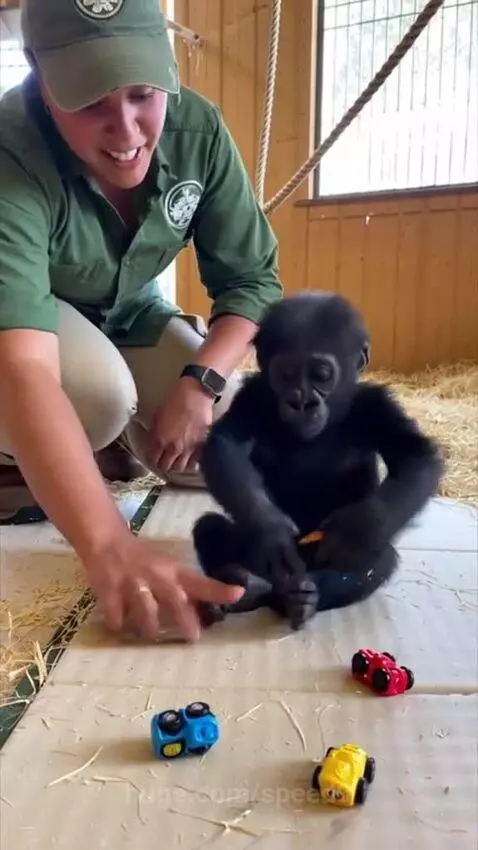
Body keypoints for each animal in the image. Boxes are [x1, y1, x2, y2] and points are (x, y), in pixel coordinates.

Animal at [192, 291, 444, 631]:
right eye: (286, 374)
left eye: (321, 374)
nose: (302, 401)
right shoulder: (252, 397)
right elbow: (226, 445)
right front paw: (272, 533)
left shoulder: (376, 405)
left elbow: (415, 455)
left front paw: (355, 530)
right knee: (210, 529)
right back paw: (242, 583)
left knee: (377, 560)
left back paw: (302, 599)